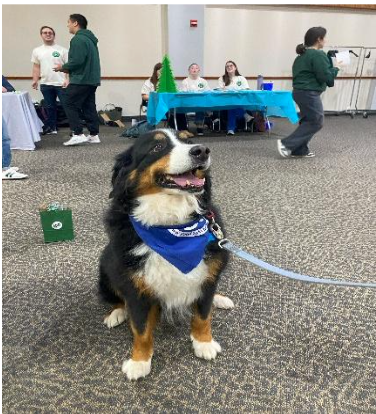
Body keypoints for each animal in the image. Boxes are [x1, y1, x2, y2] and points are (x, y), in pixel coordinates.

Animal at [98, 128, 234, 380]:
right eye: (157, 147)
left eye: (188, 140)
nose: (202, 150)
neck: (171, 226)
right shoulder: (135, 287)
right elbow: (141, 329)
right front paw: (139, 361)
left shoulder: (206, 274)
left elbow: (203, 315)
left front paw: (204, 342)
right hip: (105, 266)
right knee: (117, 297)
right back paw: (117, 313)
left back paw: (220, 299)